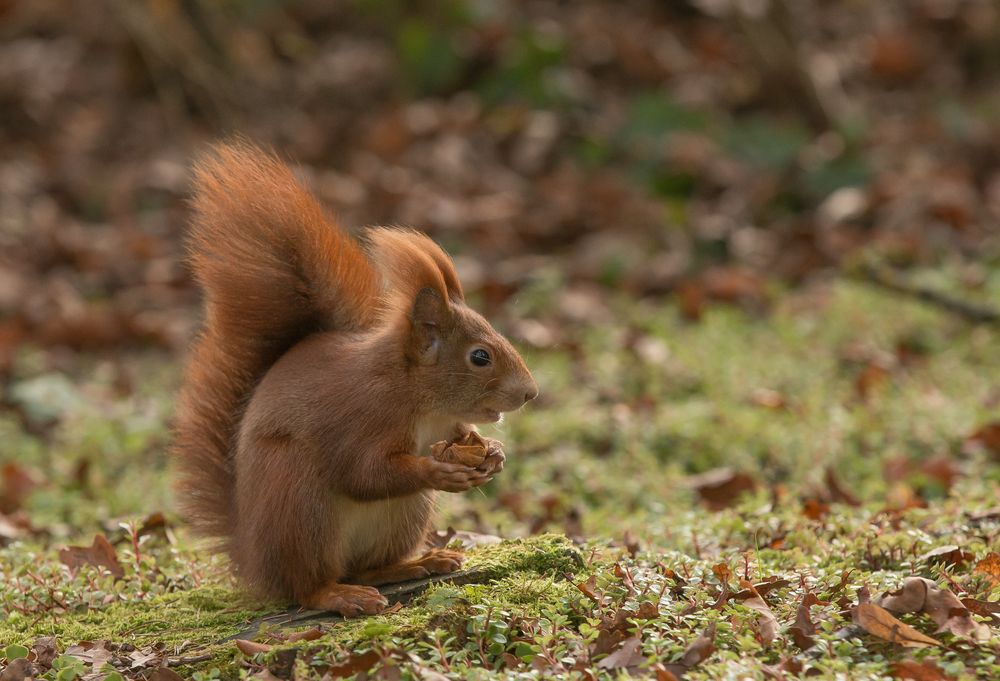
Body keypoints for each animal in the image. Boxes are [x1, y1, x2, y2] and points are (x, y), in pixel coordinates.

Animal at [170, 141, 540, 612]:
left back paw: (416, 564)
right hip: (298, 500)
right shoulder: (364, 415)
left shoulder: (448, 425)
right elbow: (363, 472)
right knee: (307, 587)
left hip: (403, 517)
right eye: (480, 357)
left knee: (364, 568)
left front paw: (493, 452)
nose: (530, 393)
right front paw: (439, 471)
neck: (419, 399)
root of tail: (253, 560)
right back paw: (338, 595)